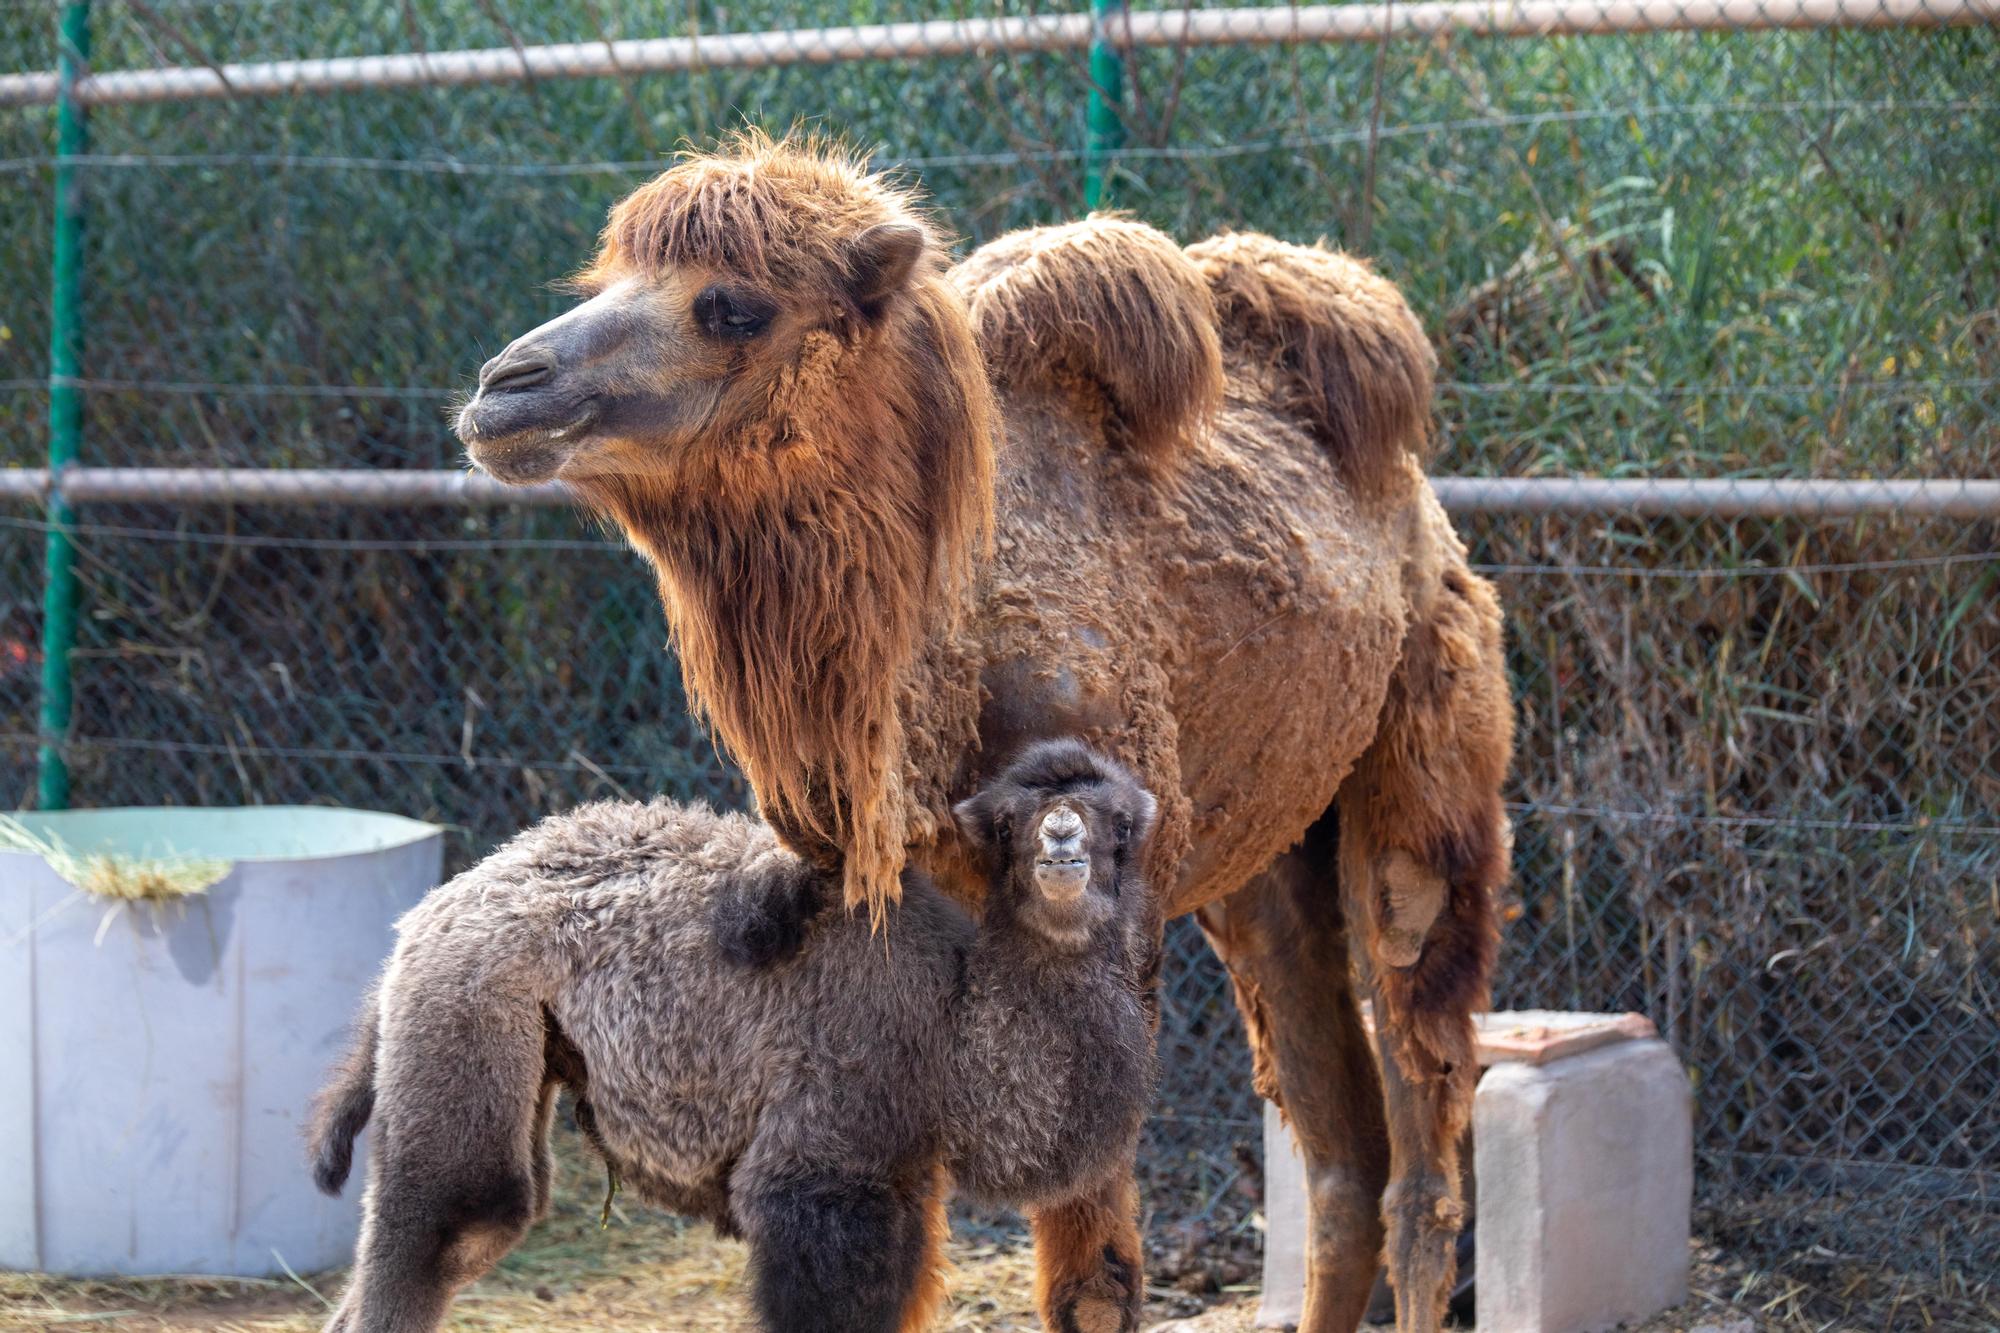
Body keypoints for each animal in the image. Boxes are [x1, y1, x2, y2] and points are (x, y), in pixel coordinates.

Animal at [310, 736, 1160, 1328]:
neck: (952, 1026)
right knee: (461, 1211)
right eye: (1012, 822)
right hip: (469, 1012)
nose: (1061, 837)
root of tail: (432, 910)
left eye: (1118, 822)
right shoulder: (825, 1164)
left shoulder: (904, 1177)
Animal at [458, 137, 1512, 1328]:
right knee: (1342, 1153)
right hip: (1266, 858)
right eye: (605, 279)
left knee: (1420, 1121)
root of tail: (1418, 508)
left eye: (732, 306)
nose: (504, 388)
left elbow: (1090, 1277)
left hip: (1421, 765)